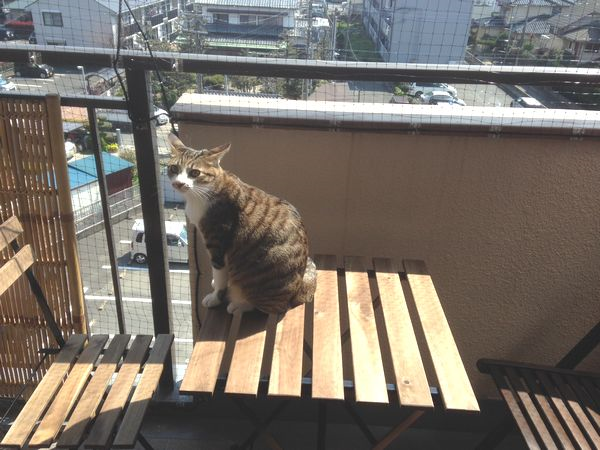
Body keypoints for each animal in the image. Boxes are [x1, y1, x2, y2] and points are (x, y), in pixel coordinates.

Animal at [167, 133, 317, 315]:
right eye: (174, 169)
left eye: (195, 172)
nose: (178, 183)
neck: (202, 193)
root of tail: (298, 292)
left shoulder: (217, 243)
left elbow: (220, 276)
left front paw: (215, 297)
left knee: (271, 307)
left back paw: (240, 304)